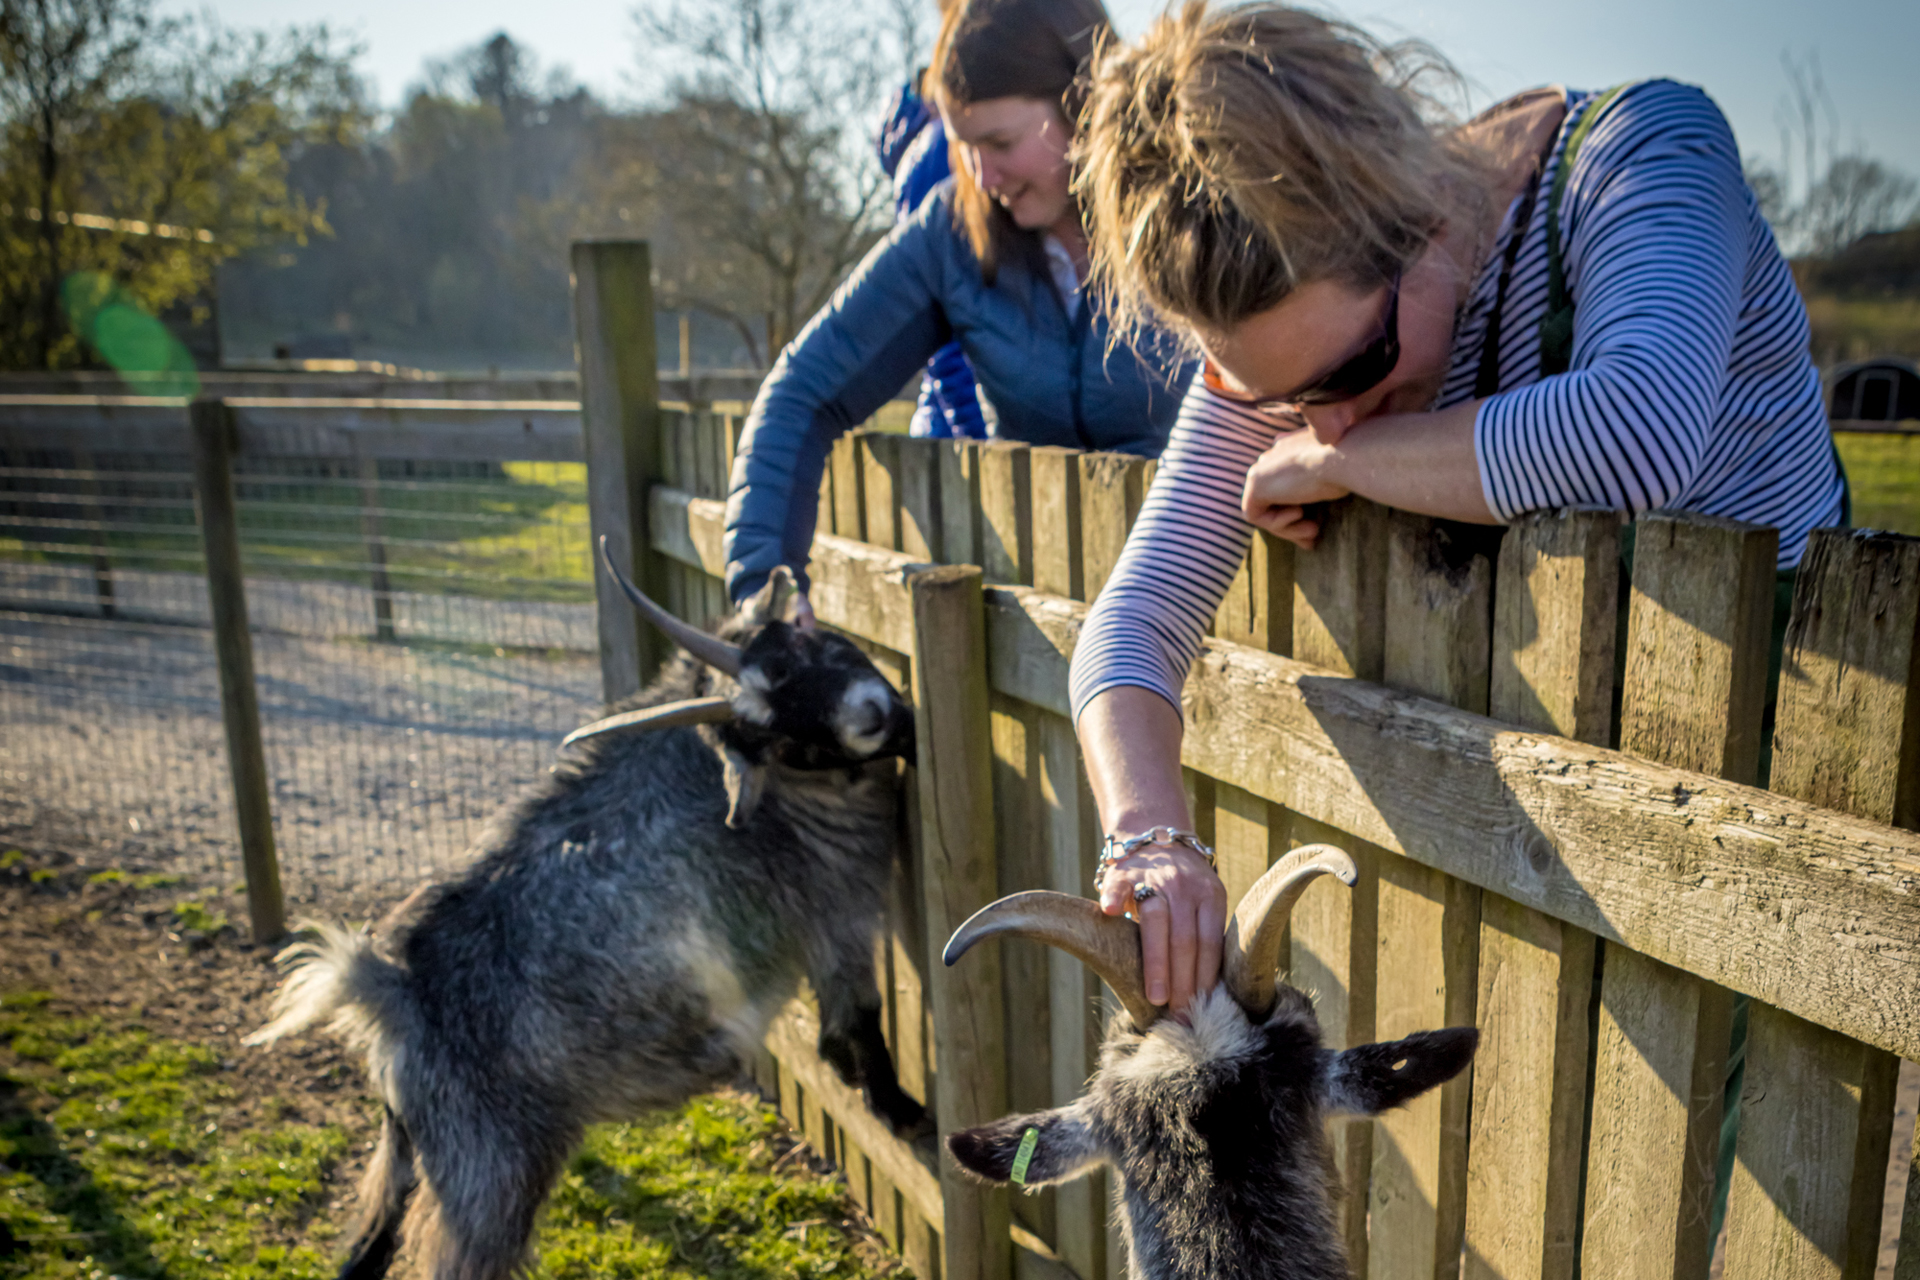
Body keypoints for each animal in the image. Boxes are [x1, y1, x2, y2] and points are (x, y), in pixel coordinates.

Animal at [243, 541, 933, 1280]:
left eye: (802, 644)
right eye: (778, 734)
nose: (873, 716)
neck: (792, 797)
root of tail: (389, 990)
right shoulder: (837, 909)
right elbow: (853, 1023)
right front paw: (904, 1114)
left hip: (409, 1147)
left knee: (367, 1245)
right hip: (487, 1172)